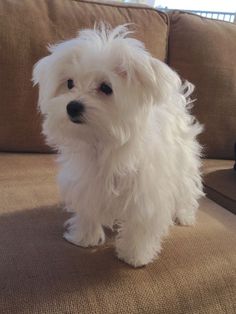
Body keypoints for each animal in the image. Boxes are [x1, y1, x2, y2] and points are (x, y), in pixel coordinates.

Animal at [32, 23, 204, 268]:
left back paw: (185, 215)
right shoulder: (86, 183)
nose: (72, 107)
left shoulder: (147, 193)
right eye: (69, 83)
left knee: (187, 189)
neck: (103, 142)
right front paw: (83, 238)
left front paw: (135, 255)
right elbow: (87, 210)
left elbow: (142, 223)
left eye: (106, 87)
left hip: (184, 164)